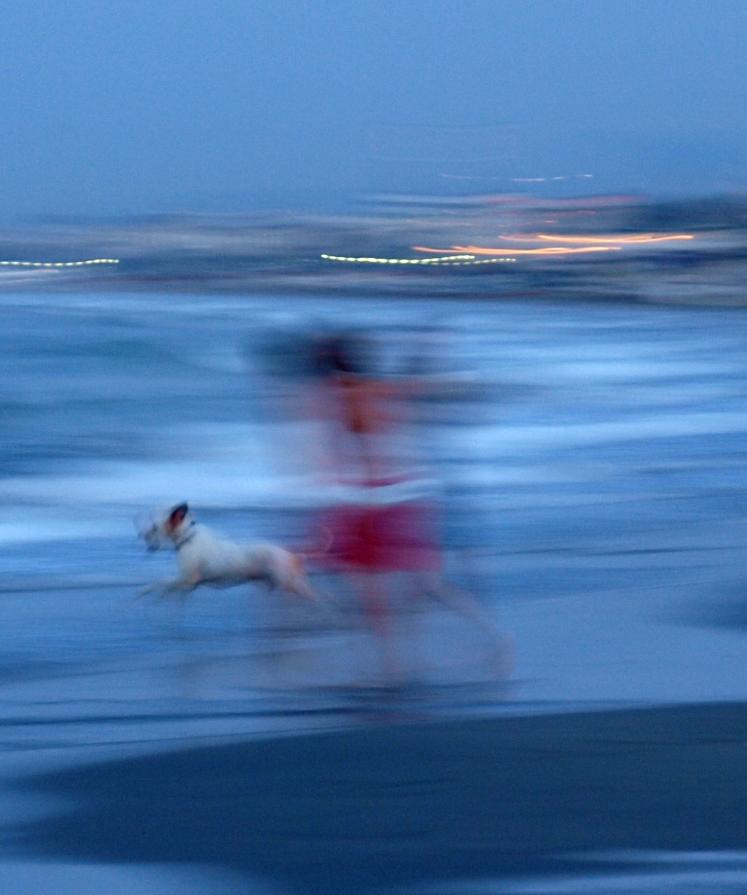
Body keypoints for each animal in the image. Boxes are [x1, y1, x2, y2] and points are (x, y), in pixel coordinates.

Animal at [137, 504, 318, 600]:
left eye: (154, 527)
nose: (141, 534)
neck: (188, 537)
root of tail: (292, 557)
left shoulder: (186, 579)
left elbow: (161, 583)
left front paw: (145, 591)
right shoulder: (187, 585)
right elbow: (169, 591)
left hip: (291, 584)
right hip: (290, 583)